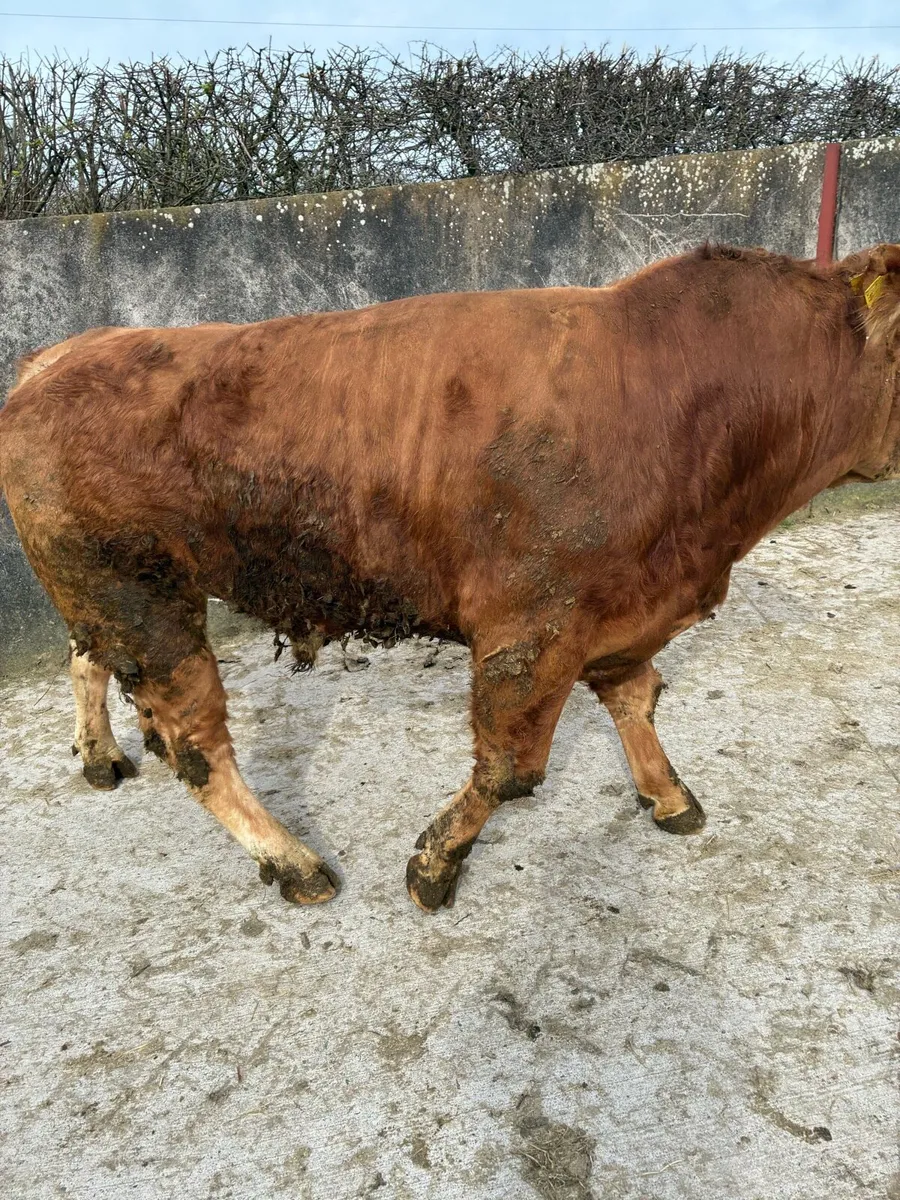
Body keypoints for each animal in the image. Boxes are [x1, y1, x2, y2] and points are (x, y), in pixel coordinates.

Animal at [1, 242, 899, 913]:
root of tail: (56, 357)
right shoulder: (531, 628)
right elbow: (511, 767)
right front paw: (434, 866)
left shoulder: (625, 610)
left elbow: (635, 699)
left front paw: (668, 795)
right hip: (138, 596)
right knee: (194, 745)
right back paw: (294, 863)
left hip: (115, 596)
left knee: (93, 666)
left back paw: (101, 757)